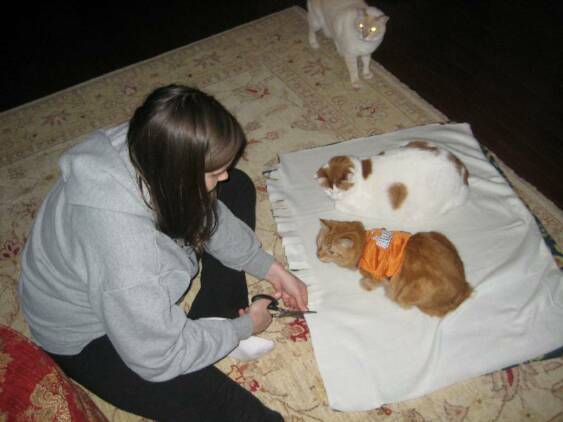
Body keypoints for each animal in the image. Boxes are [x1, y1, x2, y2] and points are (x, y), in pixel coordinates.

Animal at [316, 141, 470, 221]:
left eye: (340, 189)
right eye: (329, 189)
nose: (334, 196)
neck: (362, 173)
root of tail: (462, 168)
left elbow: (339, 206)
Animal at [318, 219, 472, 314]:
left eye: (331, 252)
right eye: (319, 244)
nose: (318, 255)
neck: (365, 245)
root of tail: (463, 287)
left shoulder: (379, 275)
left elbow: (372, 283)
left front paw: (365, 284)